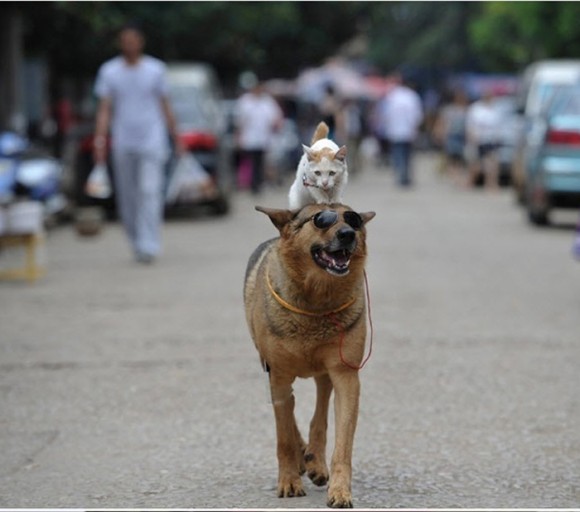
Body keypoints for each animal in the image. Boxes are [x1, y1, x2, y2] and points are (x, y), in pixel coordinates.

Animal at [242, 203, 374, 508]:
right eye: (320, 220)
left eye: (354, 220)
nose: (348, 234)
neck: (316, 301)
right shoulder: (277, 375)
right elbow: (283, 436)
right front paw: (289, 480)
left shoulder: (346, 375)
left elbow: (342, 442)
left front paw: (340, 490)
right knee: (290, 416)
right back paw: (303, 457)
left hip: (325, 371)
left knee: (320, 410)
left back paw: (315, 460)